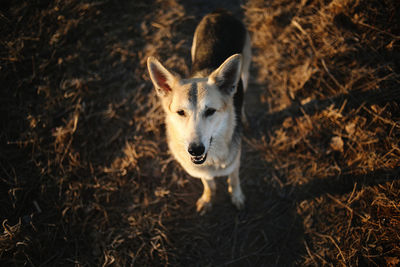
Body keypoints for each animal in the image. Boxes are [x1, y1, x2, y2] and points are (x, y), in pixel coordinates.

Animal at [148, 9, 252, 216]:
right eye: (180, 112)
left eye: (210, 111)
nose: (195, 149)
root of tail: (220, 13)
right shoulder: (200, 170)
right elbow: (208, 184)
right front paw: (207, 199)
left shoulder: (235, 162)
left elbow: (234, 180)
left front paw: (237, 197)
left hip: (244, 70)